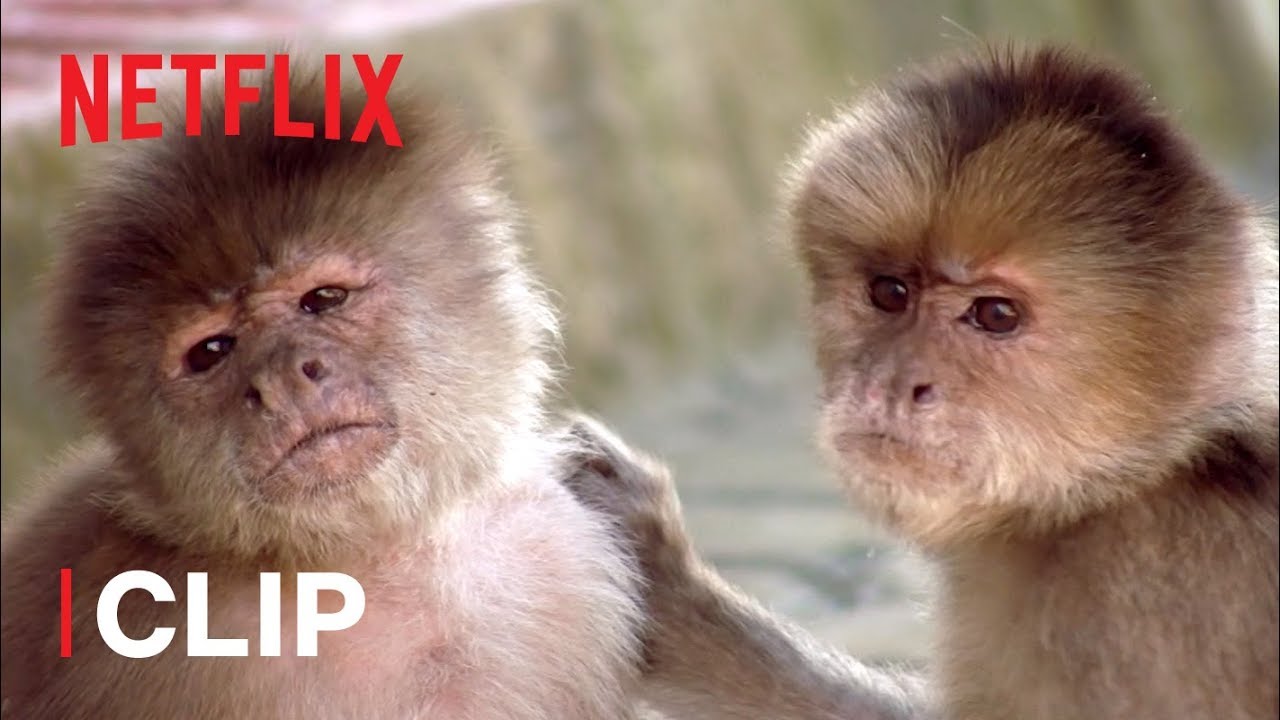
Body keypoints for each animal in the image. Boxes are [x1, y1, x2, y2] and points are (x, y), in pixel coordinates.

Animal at [561, 45, 1280, 720]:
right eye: (891, 293)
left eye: (995, 315)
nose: (895, 381)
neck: (1126, 489)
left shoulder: (1142, 596)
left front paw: (666, 586)